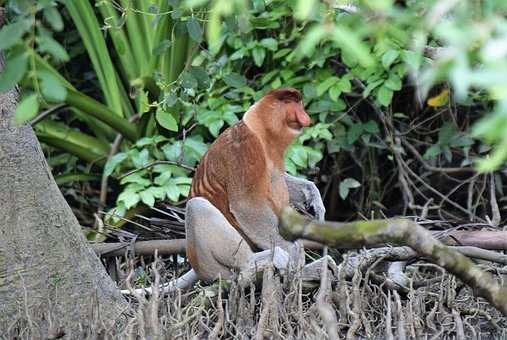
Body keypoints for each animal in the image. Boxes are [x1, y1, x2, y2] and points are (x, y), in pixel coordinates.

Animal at [187, 88, 326, 282]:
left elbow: (279, 178)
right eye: (288, 102)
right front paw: (295, 251)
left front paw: (314, 198)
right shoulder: (245, 149)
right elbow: (246, 205)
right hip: (212, 267)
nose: (305, 117)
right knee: (196, 206)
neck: (262, 132)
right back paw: (259, 260)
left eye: (298, 103)